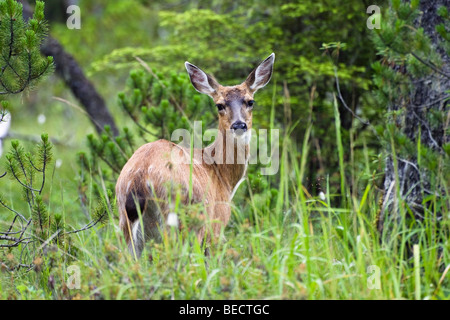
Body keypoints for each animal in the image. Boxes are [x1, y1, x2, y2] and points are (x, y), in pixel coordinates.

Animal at [115, 52, 274, 258]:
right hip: (182, 218)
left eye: (250, 101)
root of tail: (140, 176)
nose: (239, 125)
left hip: (125, 220)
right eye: (219, 105)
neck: (221, 176)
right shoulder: (217, 224)